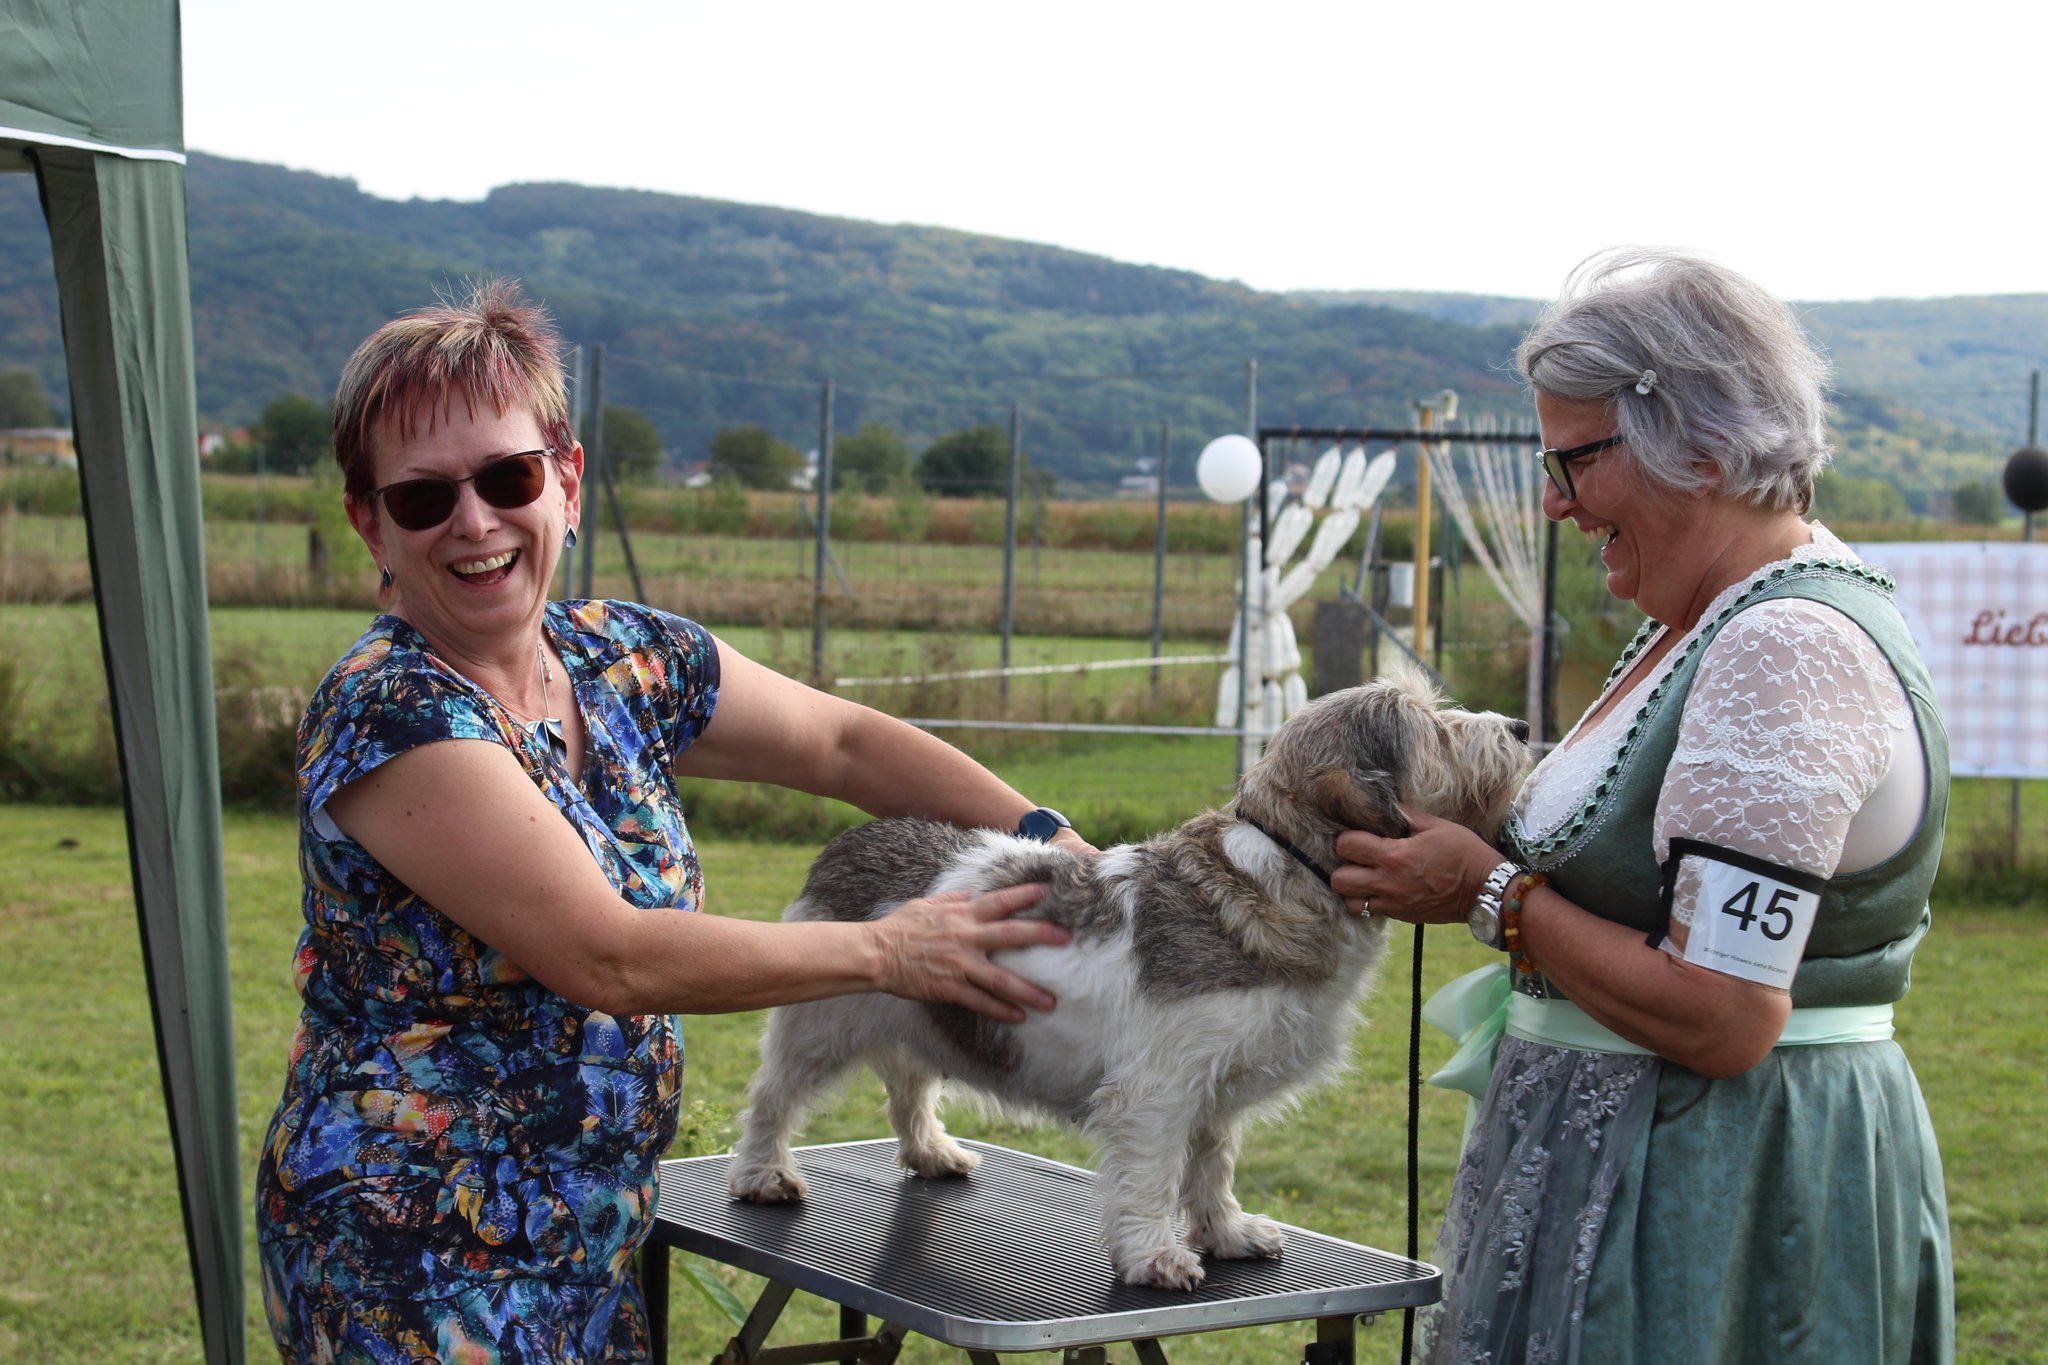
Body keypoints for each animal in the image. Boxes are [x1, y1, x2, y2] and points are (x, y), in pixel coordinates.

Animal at [727, 671, 1530, 1289]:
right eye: (1433, 729)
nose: (1523, 725)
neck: (1285, 869)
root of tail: (853, 836)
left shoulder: (1215, 1086)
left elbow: (1212, 1164)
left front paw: (1225, 1230)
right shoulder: (1160, 1091)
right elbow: (1151, 1177)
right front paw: (1153, 1256)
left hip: (928, 1012)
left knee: (909, 1086)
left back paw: (931, 1152)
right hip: (820, 1024)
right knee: (773, 1095)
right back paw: (762, 1173)